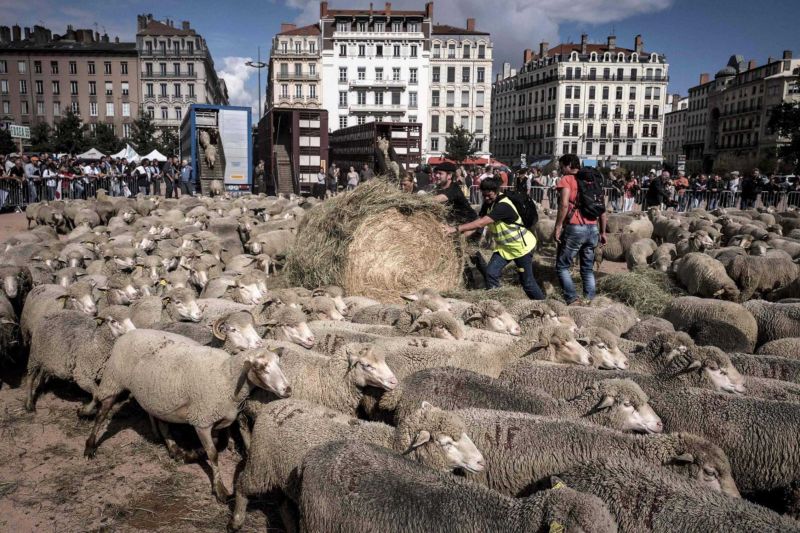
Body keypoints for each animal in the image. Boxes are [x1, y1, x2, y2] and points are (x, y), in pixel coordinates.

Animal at [85, 336, 290, 502]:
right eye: (260, 367)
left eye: (279, 363)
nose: (288, 389)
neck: (227, 376)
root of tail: (125, 335)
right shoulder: (202, 420)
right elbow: (213, 453)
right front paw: (220, 490)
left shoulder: (218, 417)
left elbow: (220, 443)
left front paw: (190, 454)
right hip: (113, 380)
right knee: (101, 414)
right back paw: (90, 447)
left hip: (158, 399)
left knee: (162, 423)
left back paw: (174, 449)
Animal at [228, 396, 484, 528]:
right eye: (446, 443)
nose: (481, 461)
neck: (394, 444)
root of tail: (273, 405)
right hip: (261, 464)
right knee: (242, 485)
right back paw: (237, 521)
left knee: (283, 505)